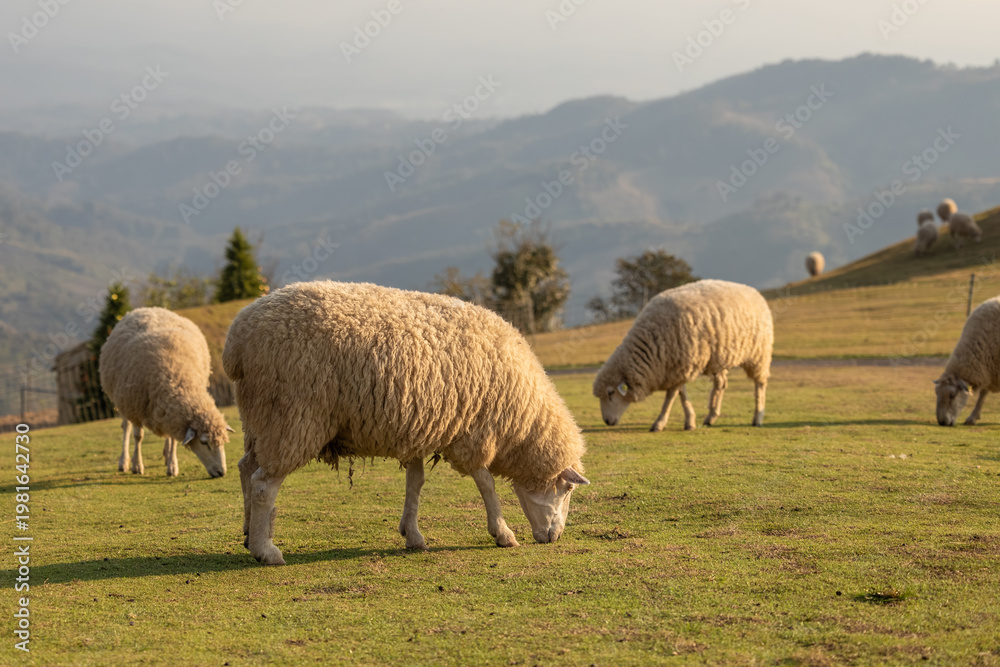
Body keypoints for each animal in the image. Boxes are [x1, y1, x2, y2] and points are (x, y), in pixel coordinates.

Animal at [99, 307, 232, 478]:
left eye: (222, 442)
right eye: (204, 442)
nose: (222, 472)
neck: (177, 377)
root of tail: (147, 308)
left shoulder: (173, 414)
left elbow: (173, 439)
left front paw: (172, 465)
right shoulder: (135, 407)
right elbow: (138, 436)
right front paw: (137, 465)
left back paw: (167, 455)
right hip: (123, 399)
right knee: (126, 428)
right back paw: (124, 462)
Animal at [222, 281, 590, 566]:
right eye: (568, 489)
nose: (554, 537)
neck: (522, 423)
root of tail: (237, 340)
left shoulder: (419, 428)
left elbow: (416, 483)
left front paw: (412, 535)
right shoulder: (472, 433)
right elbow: (485, 484)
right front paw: (503, 532)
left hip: (259, 420)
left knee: (245, 468)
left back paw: (249, 533)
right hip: (291, 419)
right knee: (263, 484)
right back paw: (266, 551)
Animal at [593, 279, 773, 431]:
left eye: (610, 393)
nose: (607, 421)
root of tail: (753, 290)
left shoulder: (682, 364)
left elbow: (671, 396)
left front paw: (659, 423)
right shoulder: (678, 366)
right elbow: (681, 394)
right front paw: (690, 421)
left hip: (759, 353)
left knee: (760, 384)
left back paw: (757, 418)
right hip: (719, 357)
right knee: (721, 384)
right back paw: (711, 417)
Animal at [935, 297, 1000, 426]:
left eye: (952, 396)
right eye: (936, 393)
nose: (942, 422)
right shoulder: (988, 370)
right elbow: (983, 394)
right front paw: (972, 417)